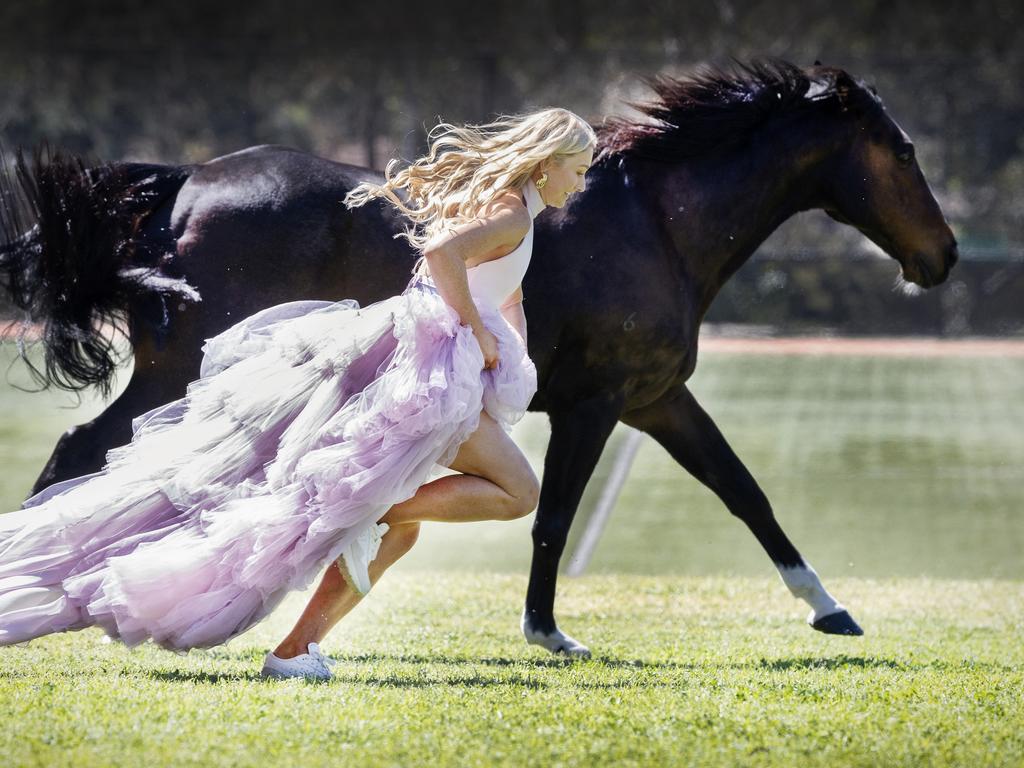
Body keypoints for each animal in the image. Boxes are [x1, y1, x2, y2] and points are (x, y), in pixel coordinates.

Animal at [0, 61, 958, 663]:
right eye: (905, 151)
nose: (943, 257)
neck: (653, 222)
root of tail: (183, 183)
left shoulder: (658, 401)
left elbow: (747, 495)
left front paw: (831, 609)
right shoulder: (594, 406)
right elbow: (555, 518)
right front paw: (547, 632)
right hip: (177, 377)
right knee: (83, 452)